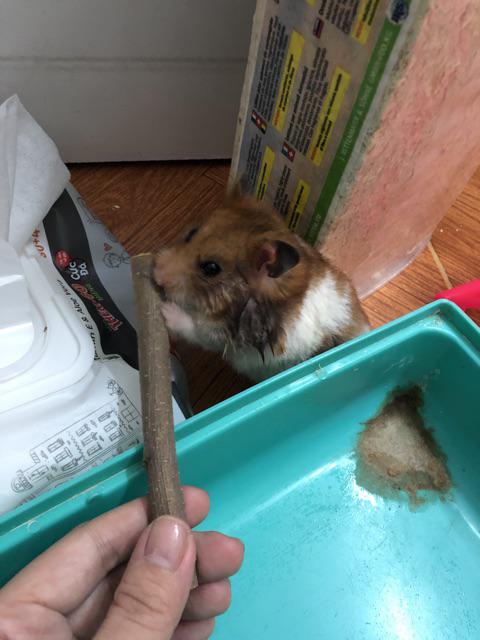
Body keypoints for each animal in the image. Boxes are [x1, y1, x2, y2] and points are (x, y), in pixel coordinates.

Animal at [153, 190, 370, 382]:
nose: (155, 271)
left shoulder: (228, 338)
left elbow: (195, 329)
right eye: (191, 233)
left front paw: (165, 309)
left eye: (211, 268)